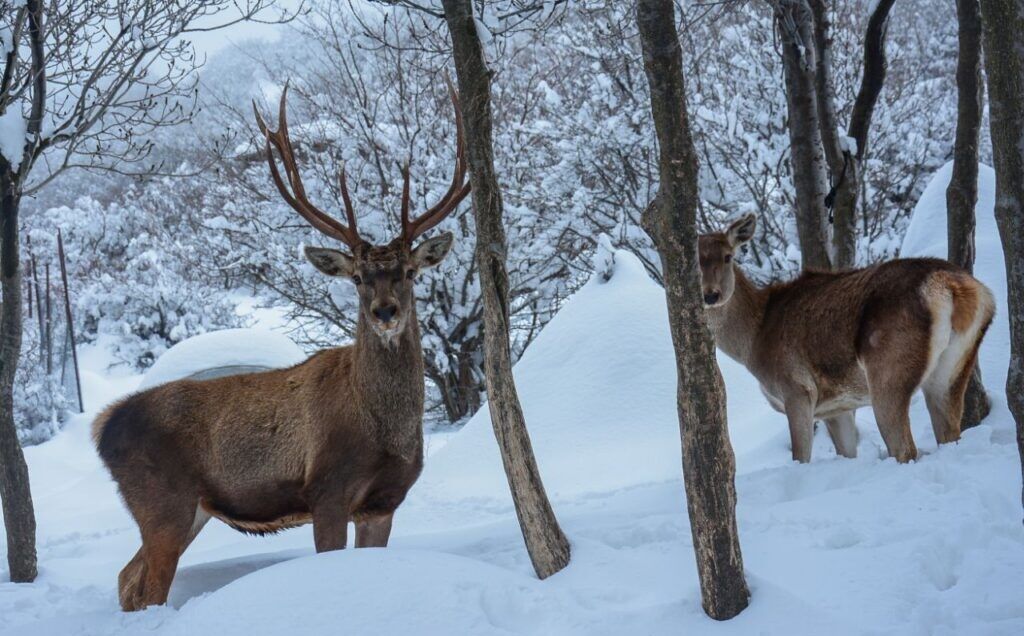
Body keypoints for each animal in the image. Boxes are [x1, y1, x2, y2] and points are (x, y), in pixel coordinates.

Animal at [92, 81, 468, 606]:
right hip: (162, 500)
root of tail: (102, 428)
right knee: (146, 589)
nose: (385, 312)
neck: (382, 428)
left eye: (410, 272)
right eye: (357, 278)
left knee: (127, 577)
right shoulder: (327, 490)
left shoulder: (383, 501)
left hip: (189, 509)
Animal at [700, 213, 995, 460]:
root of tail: (953, 286)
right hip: (953, 370)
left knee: (905, 449)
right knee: (949, 435)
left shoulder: (797, 389)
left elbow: (801, 457)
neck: (753, 342)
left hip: (889, 368)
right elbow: (847, 453)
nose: (710, 295)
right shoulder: (837, 408)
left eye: (727, 256)